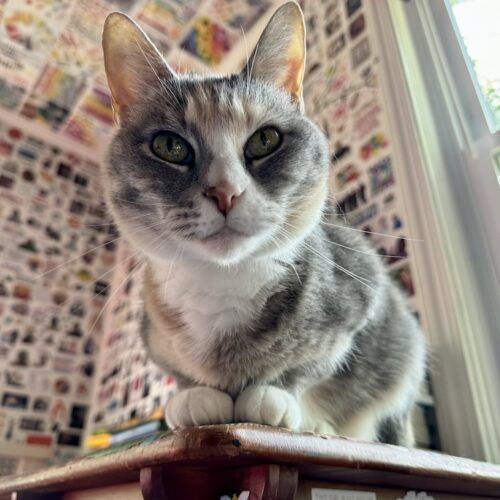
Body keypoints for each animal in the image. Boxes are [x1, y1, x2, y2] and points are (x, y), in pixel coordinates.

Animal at [100, 0, 426, 446]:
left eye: (265, 140)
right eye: (170, 146)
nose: (225, 192)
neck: (223, 283)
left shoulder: (362, 295)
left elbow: (313, 365)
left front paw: (274, 396)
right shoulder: (154, 336)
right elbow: (181, 374)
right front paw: (195, 396)